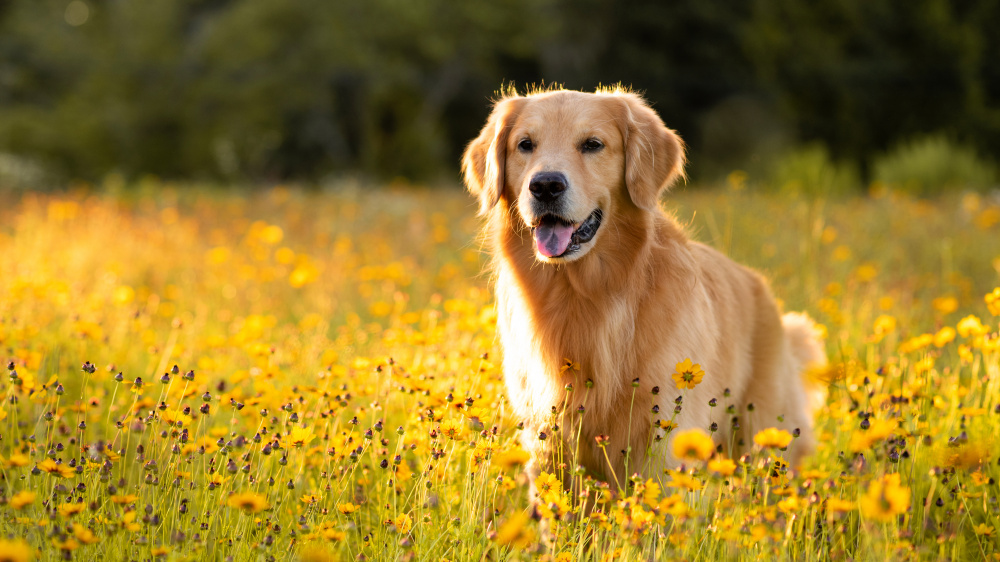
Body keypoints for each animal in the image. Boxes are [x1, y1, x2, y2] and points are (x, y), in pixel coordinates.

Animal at [460, 87, 820, 490]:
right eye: (525, 144)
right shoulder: (546, 436)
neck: (585, 296)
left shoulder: (663, 434)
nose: (546, 185)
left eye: (592, 144)